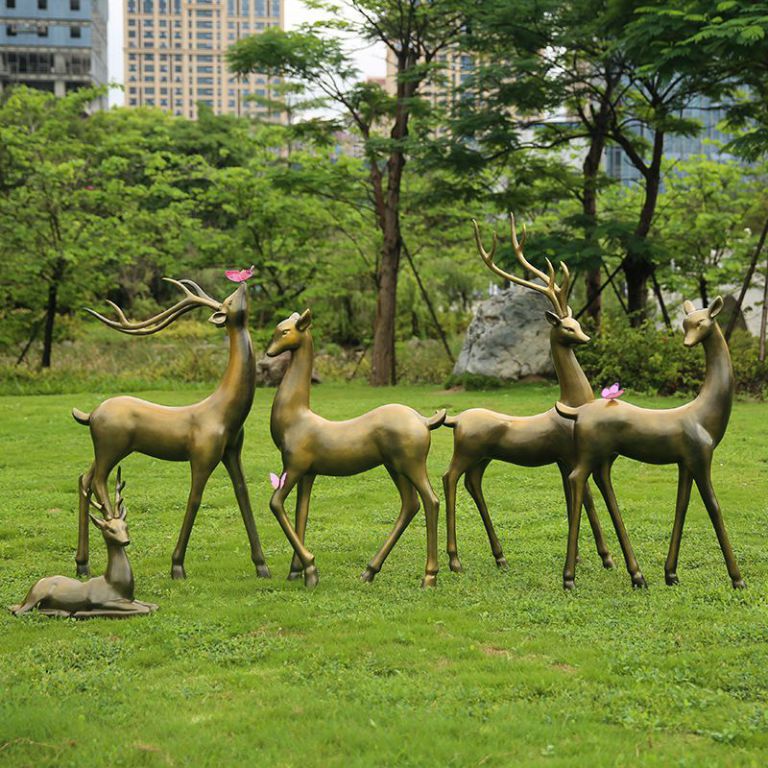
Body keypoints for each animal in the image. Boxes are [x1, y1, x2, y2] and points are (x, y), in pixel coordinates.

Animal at [72, 280, 270, 580]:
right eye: (229, 301)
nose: (243, 284)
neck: (224, 412)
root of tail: (91, 414)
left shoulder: (232, 452)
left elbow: (243, 494)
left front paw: (262, 565)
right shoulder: (202, 456)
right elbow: (194, 499)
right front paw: (177, 566)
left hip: (104, 449)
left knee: (84, 479)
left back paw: (82, 564)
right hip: (111, 447)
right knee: (98, 482)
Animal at [264, 308, 444, 592]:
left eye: (284, 332)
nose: (269, 353)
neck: (295, 418)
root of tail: (424, 421)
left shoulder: (293, 466)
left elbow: (276, 504)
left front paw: (311, 570)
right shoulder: (308, 473)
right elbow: (301, 513)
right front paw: (296, 572)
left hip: (411, 464)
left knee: (431, 501)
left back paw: (428, 577)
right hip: (394, 467)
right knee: (410, 504)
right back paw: (368, 572)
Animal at [444, 213, 636, 580]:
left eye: (578, 322)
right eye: (567, 327)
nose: (587, 338)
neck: (573, 402)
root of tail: (456, 419)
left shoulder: (563, 459)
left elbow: (574, 498)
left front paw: (587, 558)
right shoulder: (572, 455)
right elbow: (587, 498)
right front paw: (606, 558)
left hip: (482, 458)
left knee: (472, 484)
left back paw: (500, 557)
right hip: (466, 451)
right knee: (448, 479)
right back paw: (455, 560)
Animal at [560, 296, 744, 592]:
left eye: (699, 323)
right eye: (686, 324)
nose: (687, 343)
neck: (705, 414)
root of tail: (577, 413)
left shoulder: (685, 463)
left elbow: (682, 505)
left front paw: (671, 574)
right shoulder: (701, 458)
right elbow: (714, 507)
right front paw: (738, 579)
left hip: (605, 456)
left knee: (600, 482)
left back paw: (637, 576)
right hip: (589, 455)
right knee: (576, 479)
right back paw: (569, 579)